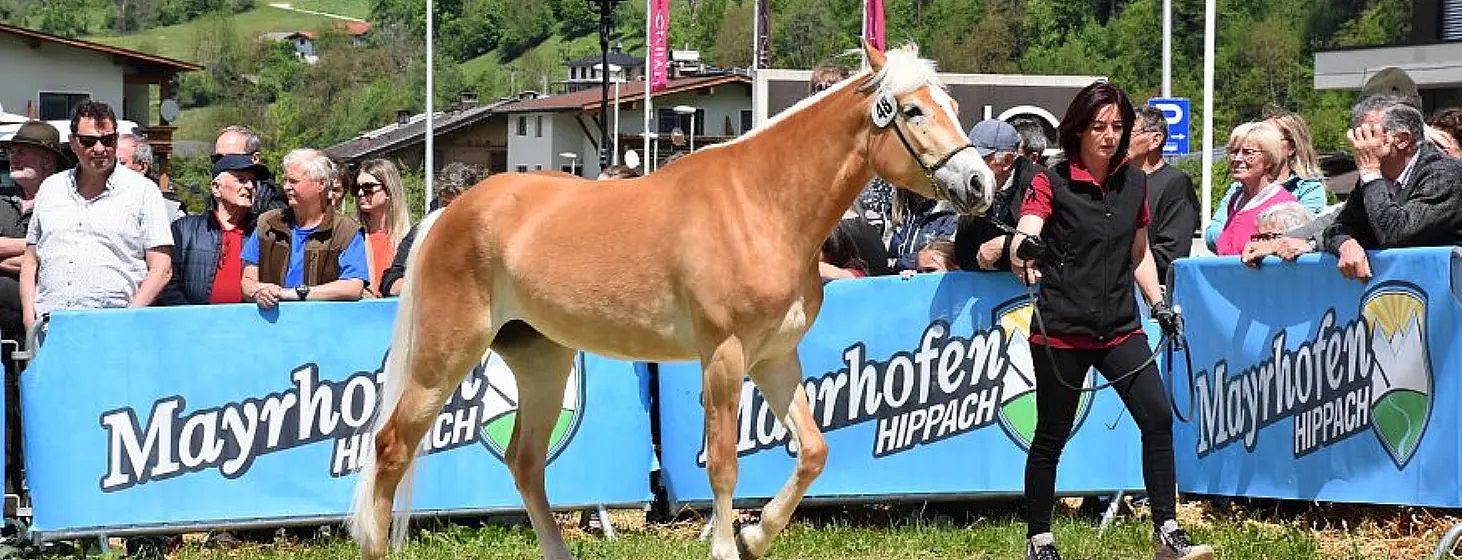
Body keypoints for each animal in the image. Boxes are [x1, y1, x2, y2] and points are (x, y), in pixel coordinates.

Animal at [349, 41, 995, 560]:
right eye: (913, 110)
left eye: (953, 107)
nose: (980, 184)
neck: (761, 204)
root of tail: (451, 213)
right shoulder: (725, 357)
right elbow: (725, 464)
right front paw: (728, 547)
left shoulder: (774, 358)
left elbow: (813, 451)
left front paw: (755, 536)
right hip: (445, 356)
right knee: (391, 445)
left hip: (542, 361)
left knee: (525, 463)